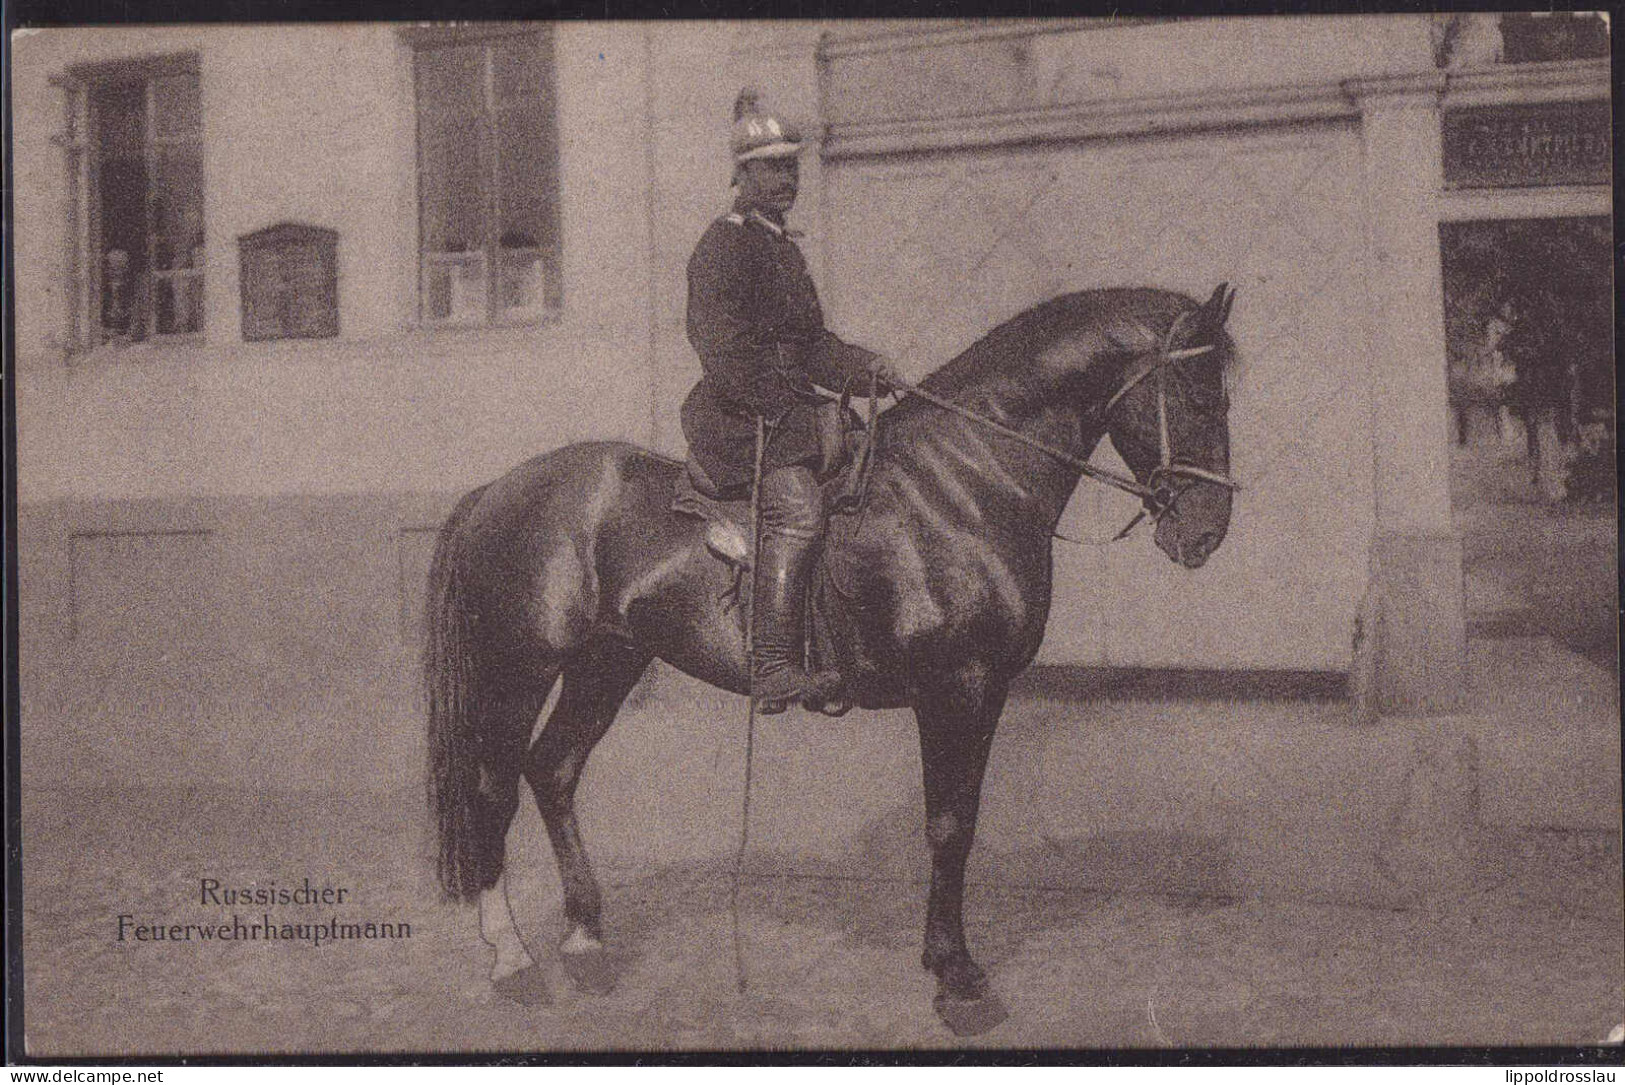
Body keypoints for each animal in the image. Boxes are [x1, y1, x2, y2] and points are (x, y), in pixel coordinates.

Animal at [425, 282, 1235, 1033]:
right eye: (1197, 393)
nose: (1205, 533)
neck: (964, 483)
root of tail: (498, 489)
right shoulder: (957, 686)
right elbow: (949, 826)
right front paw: (959, 980)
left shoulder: (983, 690)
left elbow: (960, 822)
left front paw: (946, 962)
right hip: (516, 671)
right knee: (495, 790)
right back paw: (512, 960)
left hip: (607, 663)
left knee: (554, 770)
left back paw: (587, 945)